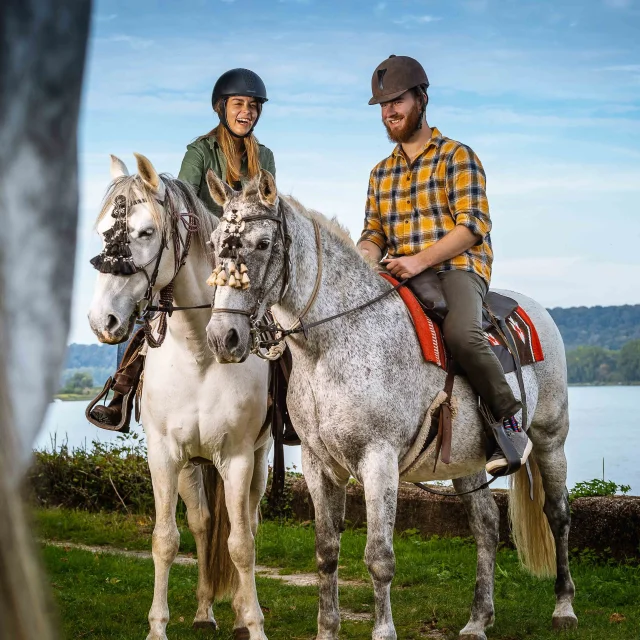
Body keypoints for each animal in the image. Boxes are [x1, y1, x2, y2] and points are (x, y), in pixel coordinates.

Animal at [87, 155, 270, 640]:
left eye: (146, 232)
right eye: (102, 231)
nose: (101, 320)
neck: (200, 352)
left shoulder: (239, 457)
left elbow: (241, 544)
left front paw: (253, 623)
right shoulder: (165, 454)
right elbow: (166, 539)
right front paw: (158, 626)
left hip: (258, 459)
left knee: (248, 523)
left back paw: (239, 613)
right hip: (193, 464)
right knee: (203, 524)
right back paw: (205, 610)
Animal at [204, 169, 576, 640]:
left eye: (264, 243)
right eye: (214, 242)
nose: (223, 337)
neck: (332, 343)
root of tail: (534, 310)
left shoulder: (378, 460)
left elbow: (379, 557)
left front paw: (383, 630)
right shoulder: (318, 463)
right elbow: (326, 552)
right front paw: (327, 629)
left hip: (550, 439)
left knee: (557, 514)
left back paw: (564, 606)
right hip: (467, 462)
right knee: (486, 527)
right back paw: (478, 619)